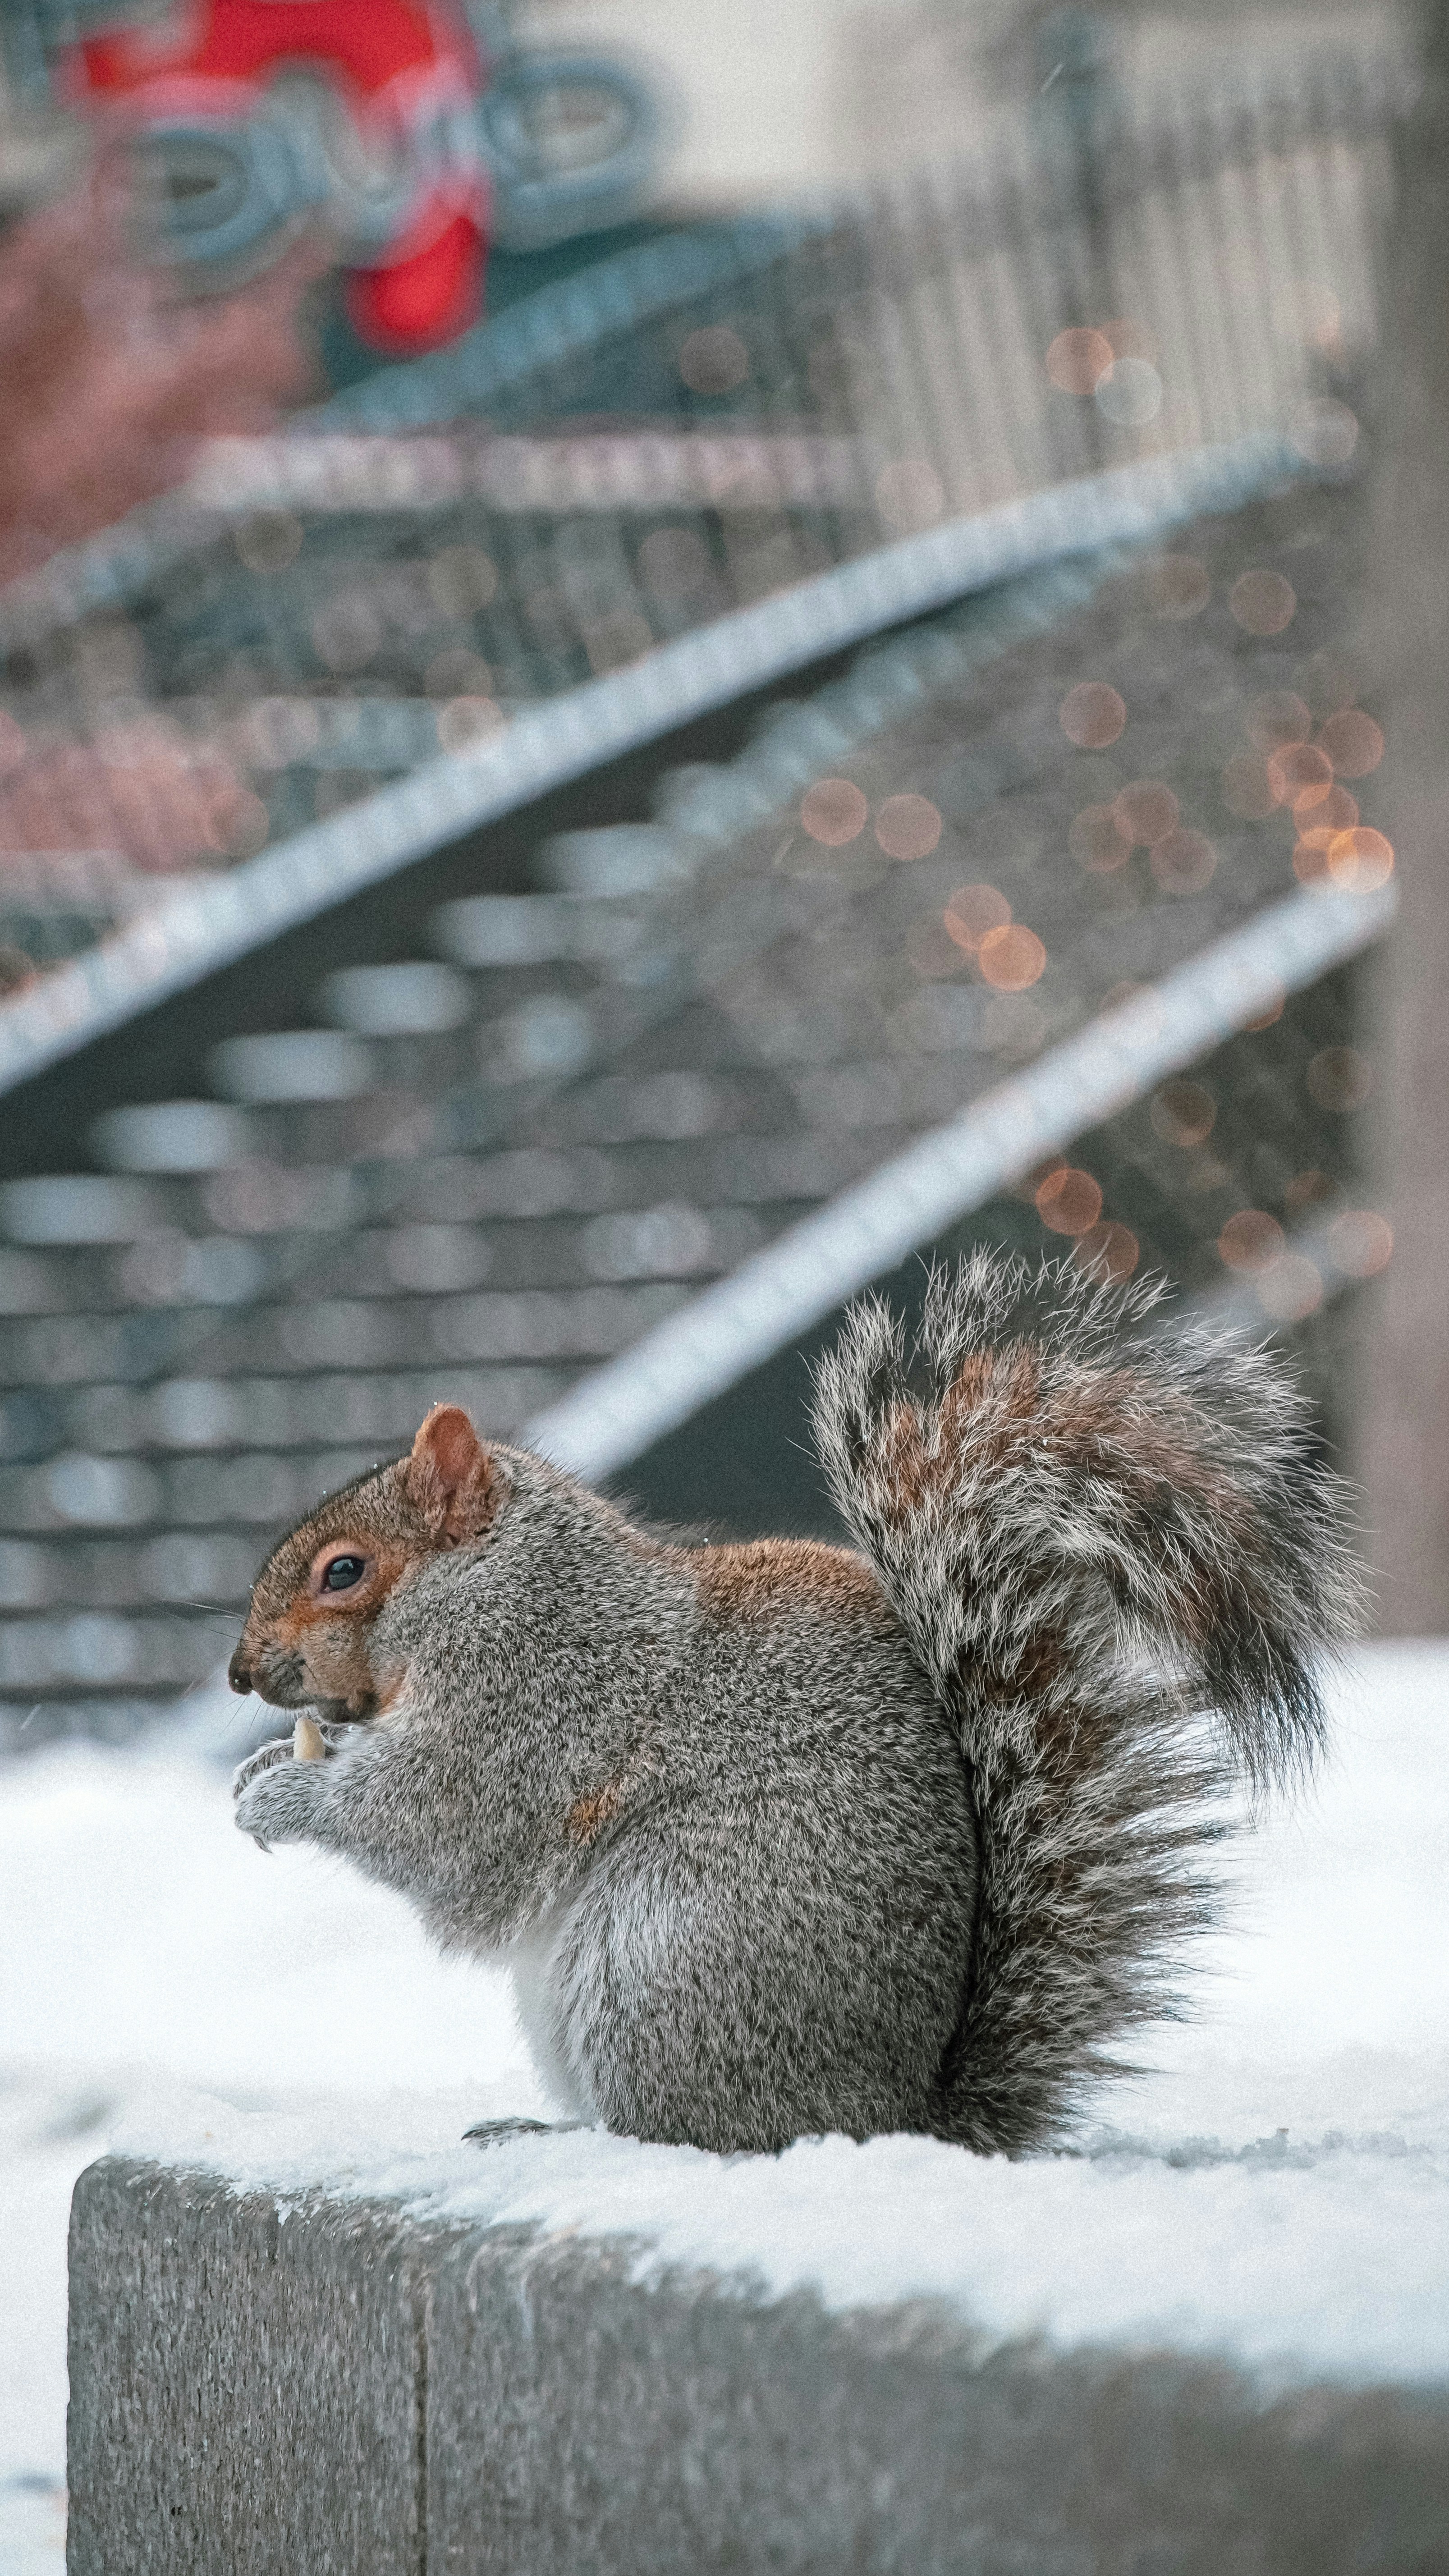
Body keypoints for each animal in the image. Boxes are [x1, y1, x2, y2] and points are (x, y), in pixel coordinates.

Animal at [229, 1251, 1357, 2156]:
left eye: (343, 1570)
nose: (241, 1674)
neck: (500, 1582)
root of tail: (890, 2114)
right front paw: (267, 1762)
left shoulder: (540, 1698)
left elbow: (439, 1820)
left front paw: (285, 1797)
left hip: (660, 1963)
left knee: (700, 2131)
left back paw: (568, 2136)